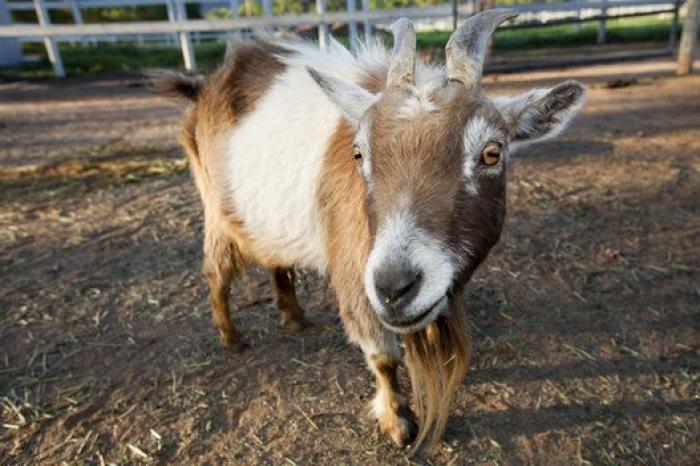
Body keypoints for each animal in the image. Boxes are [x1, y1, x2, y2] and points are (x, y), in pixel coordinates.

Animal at [152, 9, 585, 451]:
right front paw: (397, 421)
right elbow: (383, 356)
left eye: (492, 153)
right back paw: (232, 338)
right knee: (216, 272)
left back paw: (295, 318)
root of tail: (203, 86)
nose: (395, 286)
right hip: (217, 209)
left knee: (277, 260)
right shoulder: (354, 273)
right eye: (359, 151)